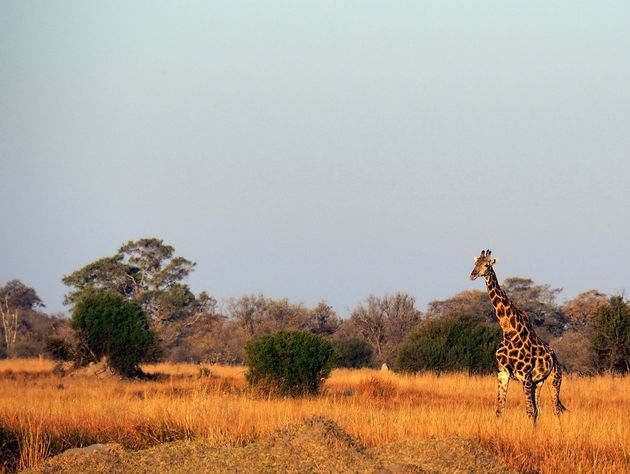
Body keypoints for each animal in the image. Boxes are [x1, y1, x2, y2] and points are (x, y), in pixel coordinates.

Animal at [470, 250, 568, 424]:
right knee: (540, 410)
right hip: (538, 382)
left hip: (554, 379)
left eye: (487, 265)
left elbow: (529, 411)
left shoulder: (525, 375)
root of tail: (556, 358)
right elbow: (499, 410)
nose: (473, 274)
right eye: (475, 263)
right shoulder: (502, 373)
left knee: (555, 410)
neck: (509, 331)